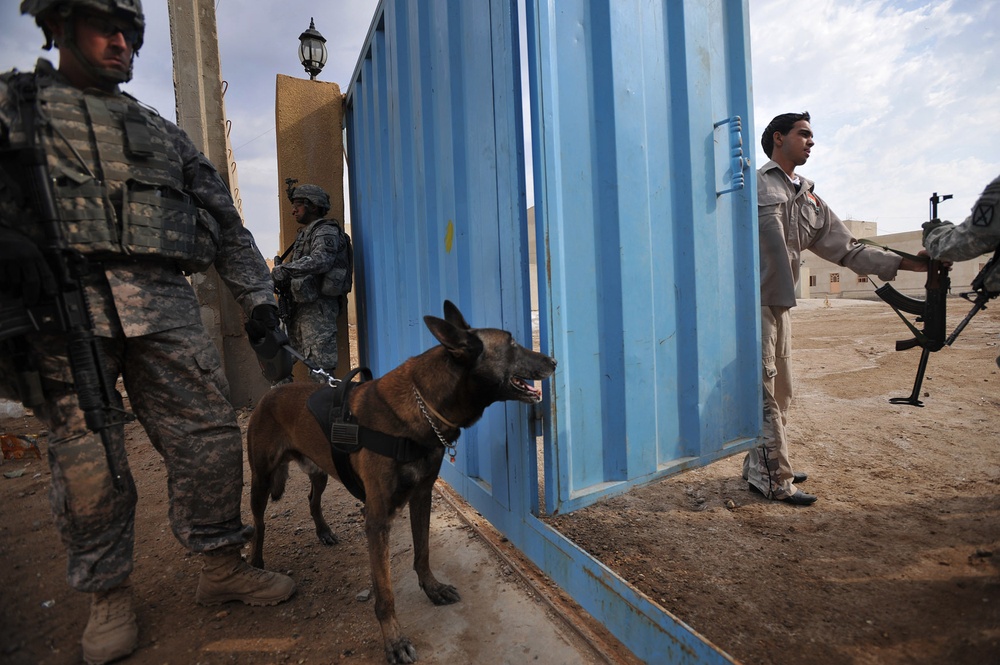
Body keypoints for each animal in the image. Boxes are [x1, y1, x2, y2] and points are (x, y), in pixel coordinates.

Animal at [242, 300, 556, 660]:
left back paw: (323, 531)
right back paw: (257, 564)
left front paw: (432, 589)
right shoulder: (377, 520)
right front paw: (394, 640)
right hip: (261, 480)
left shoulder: (422, 497)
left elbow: (423, 553)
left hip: (319, 471)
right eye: (512, 343)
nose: (554, 361)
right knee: (260, 522)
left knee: (312, 499)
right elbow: (385, 592)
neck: (424, 407)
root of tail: (270, 394)